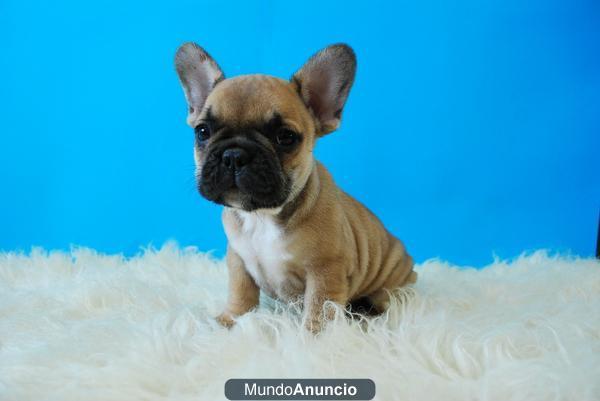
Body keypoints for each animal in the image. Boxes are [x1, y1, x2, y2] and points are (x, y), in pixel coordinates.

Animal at [175, 41, 418, 332]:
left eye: (285, 137)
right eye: (202, 132)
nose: (233, 155)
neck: (262, 216)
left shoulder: (326, 269)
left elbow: (320, 307)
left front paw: (315, 336)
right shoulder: (238, 259)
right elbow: (240, 292)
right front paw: (229, 320)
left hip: (391, 282)